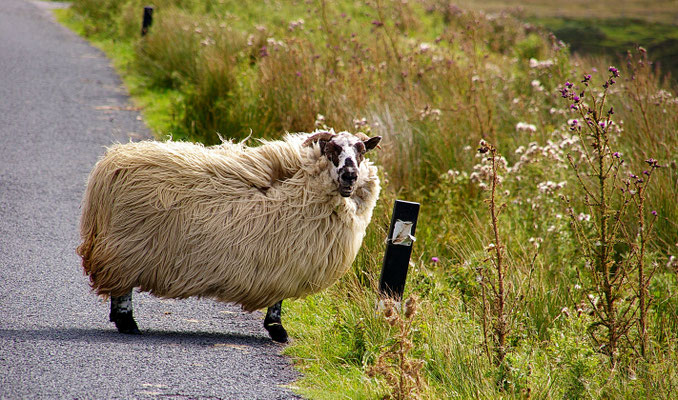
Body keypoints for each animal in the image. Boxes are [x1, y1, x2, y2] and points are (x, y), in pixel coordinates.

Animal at [77, 130, 381, 342]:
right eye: (332, 150)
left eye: (361, 151)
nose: (350, 175)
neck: (304, 184)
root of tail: (110, 164)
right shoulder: (286, 260)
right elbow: (277, 302)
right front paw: (277, 330)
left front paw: (276, 330)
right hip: (125, 247)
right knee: (122, 290)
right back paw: (128, 324)